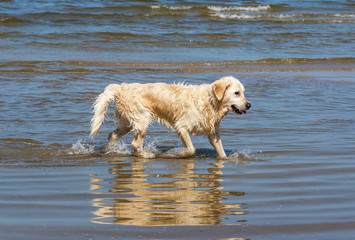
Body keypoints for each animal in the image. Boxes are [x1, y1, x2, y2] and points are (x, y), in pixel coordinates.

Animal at [90, 76, 252, 158]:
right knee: (135, 144)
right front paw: (175, 153)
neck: (211, 101)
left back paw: (106, 150)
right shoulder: (182, 127)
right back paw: (148, 155)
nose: (249, 105)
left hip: (128, 122)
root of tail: (121, 88)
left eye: (243, 92)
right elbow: (191, 149)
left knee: (112, 135)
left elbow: (221, 151)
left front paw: (225, 159)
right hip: (141, 119)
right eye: (237, 93)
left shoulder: (212, 132)